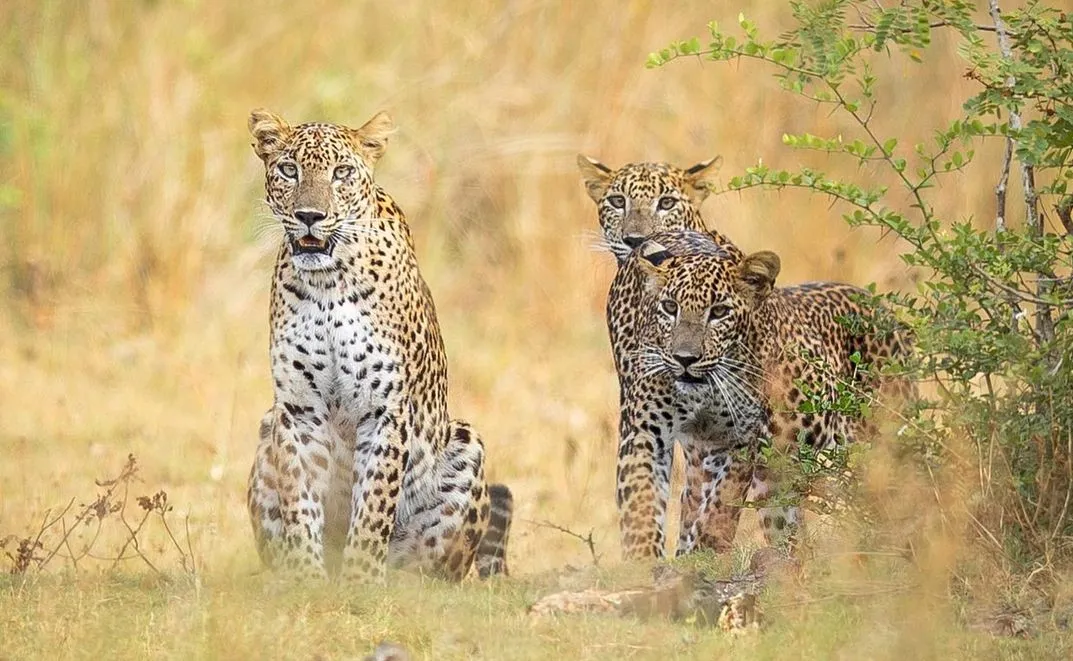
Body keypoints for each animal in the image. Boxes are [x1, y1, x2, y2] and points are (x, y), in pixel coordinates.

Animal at [245, 108, 512, 583]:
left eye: (342, 172)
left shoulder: (384, 409)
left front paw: (360, 581)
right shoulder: (297, 410)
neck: (327, 283)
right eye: (289, 170)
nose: (310, 215)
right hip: (266, 428)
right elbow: (300, 500)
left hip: (466, 445)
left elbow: (372, 506)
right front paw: (306, 578)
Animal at [613, 229, 905, 562]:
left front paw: (705, 555)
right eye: (670, 307)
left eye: (719, 312)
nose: (685, 358)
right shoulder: (645, 430)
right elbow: (640, 499)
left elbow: (720, 506)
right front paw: (643, 559)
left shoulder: (742, 441)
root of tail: (883, 309)